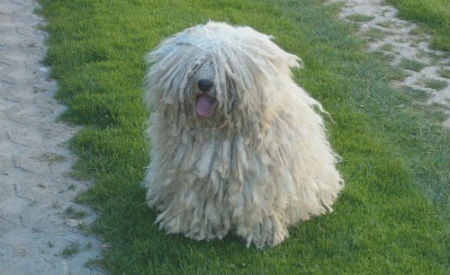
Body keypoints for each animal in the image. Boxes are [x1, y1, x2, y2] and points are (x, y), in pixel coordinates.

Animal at [142, 22, 342, 250]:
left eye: (225, 68)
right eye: (196, 64)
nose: (204, 84)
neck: (218, 130)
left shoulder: (264, 181)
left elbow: (261, 205)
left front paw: (264, 234)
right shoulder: (192, 176)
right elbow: (196, 200)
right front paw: (195, 228)